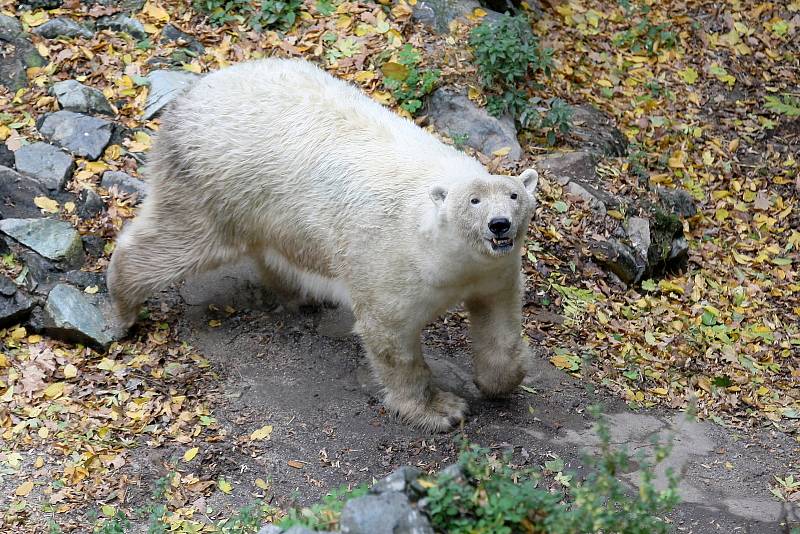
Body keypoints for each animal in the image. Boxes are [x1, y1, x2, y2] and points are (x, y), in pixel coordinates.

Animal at [106, 58, 540, 434]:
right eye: (474, 200)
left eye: (514, 195)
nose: (499, 225)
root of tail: (189, 95)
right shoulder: (389, 262)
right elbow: (390, 336)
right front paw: (440, 409)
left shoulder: (493, 270)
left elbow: (499, 317)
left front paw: (501, 380)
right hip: (219, 185)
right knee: (178, 241)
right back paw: (124, 307)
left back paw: (300, 294)